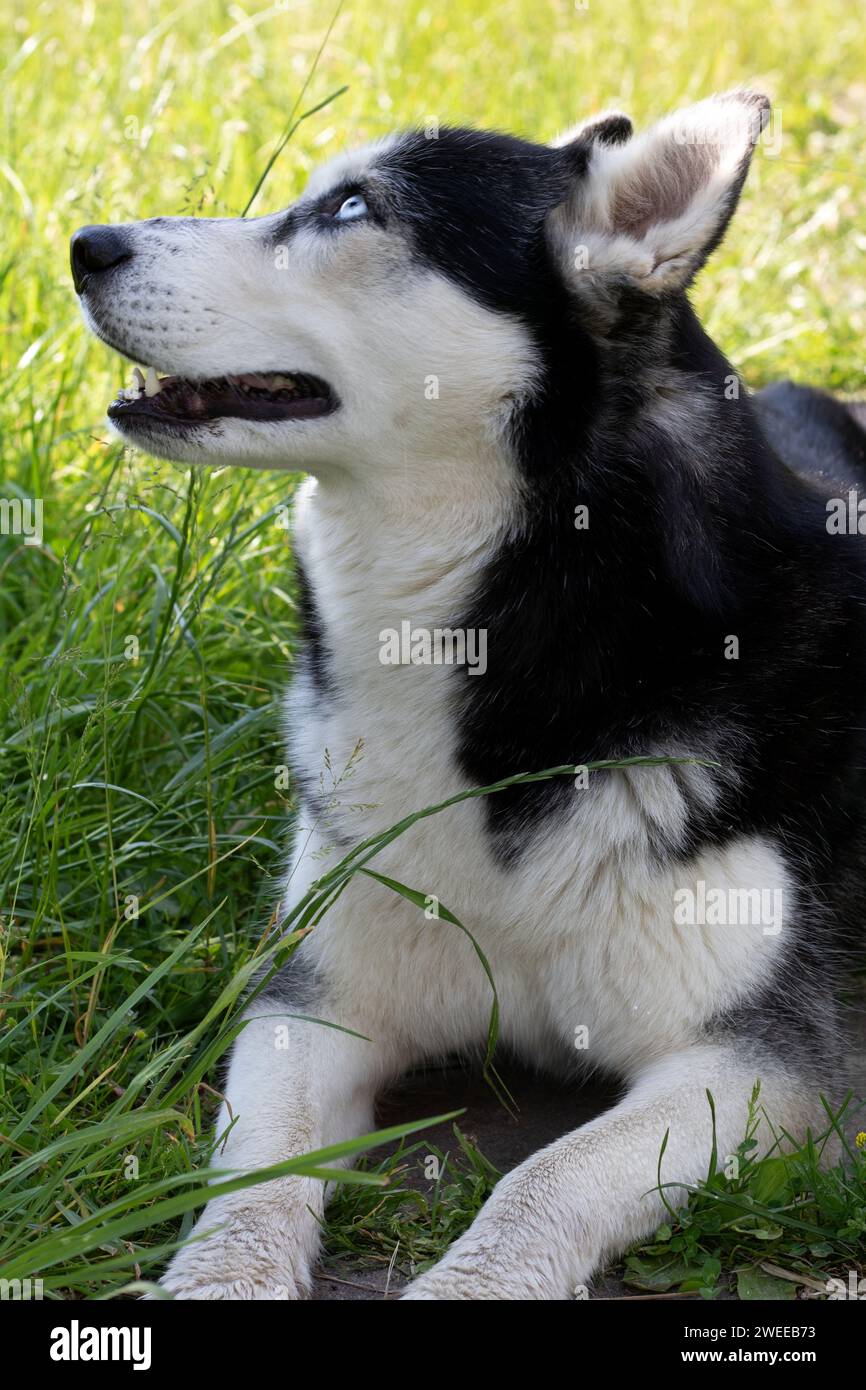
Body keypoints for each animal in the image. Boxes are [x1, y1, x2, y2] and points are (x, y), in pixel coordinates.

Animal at [72, 92, 866, 1295]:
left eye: (354, 207)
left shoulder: (760, 1064)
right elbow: (252, 1180)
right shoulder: (316, 997)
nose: (84, 245)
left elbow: (541, 1181)